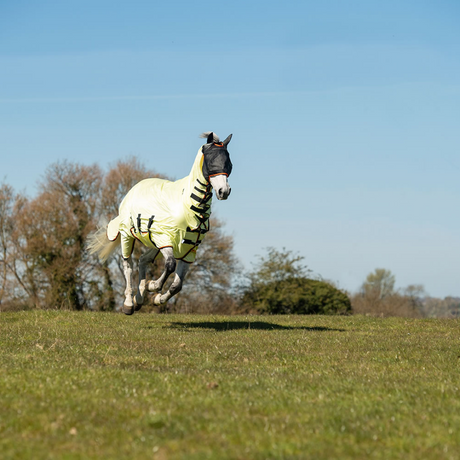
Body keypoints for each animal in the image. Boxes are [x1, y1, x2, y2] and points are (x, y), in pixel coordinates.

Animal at [88, 131, 234, 314]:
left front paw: (157, 298)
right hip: (128, 235)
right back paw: (129, 303)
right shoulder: (165, 239)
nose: (224, 191)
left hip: (153, 243)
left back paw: (139, 299)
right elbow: (170, 266)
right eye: (210, 159)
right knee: (128, 265)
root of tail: (133, 189)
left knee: (143, 260)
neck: (187, 207)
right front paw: (152, 286)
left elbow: (177, 285)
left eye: (228, 161)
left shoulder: (188, 250)